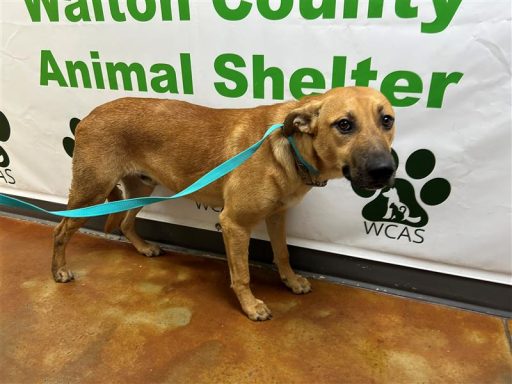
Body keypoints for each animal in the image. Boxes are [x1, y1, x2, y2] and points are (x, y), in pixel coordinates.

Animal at [52, 86, 396, 320]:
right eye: (344, 125)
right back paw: (60, 271)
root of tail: (88, 116)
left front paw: (290, 281)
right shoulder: (234, 224)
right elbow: (241, 274)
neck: (289, 147)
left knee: (124, 222)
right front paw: (250, 306)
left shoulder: (277, 216)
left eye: (387, 120)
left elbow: (282, 253)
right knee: (60, 230)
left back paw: (144, 248)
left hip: (141, 187)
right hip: (91, 193)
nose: (385, 170)